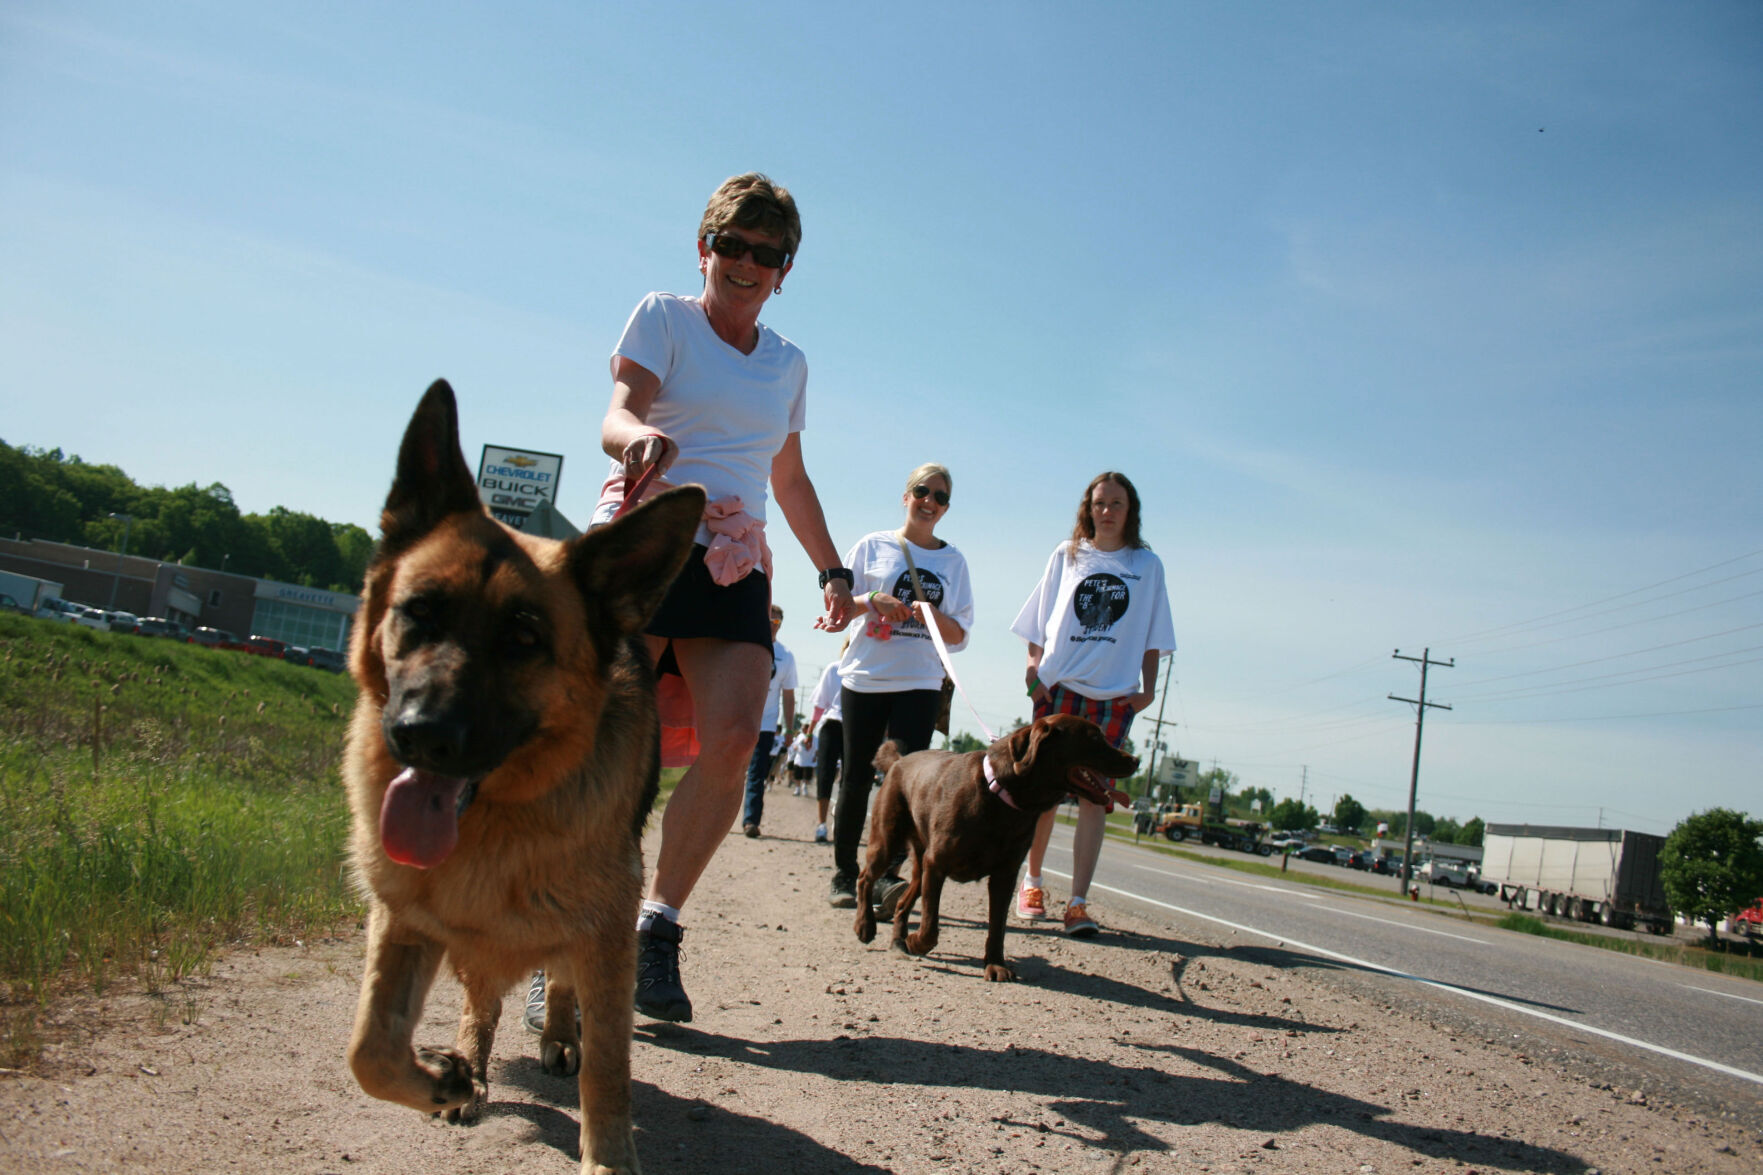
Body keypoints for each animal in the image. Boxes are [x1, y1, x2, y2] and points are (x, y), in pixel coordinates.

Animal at [343, 377, 701, 1171]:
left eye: (524, 639)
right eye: (419, 612)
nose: (420, 735)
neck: (495, 818)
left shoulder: (605, 932)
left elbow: (609, 1064)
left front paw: (608, 1156)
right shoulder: (404, 917)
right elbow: (369, 1050)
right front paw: (441, 1076)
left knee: (561, 987)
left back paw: (558, 1035)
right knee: (482, 999)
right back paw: (470, 1071)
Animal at [856, 712, 1135, 980]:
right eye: (1094, 738)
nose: (1135, 761)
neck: (1001, 797)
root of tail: (898, 761)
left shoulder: (1005, 874)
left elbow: (997, 926)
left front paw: (996, 965)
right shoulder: (937, 864)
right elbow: (930, 924)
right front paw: (917, 942)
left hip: (921, 865)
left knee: (903, 901)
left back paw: (897, 942)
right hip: (888, 840)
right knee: (865, 877)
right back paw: (865, 926)